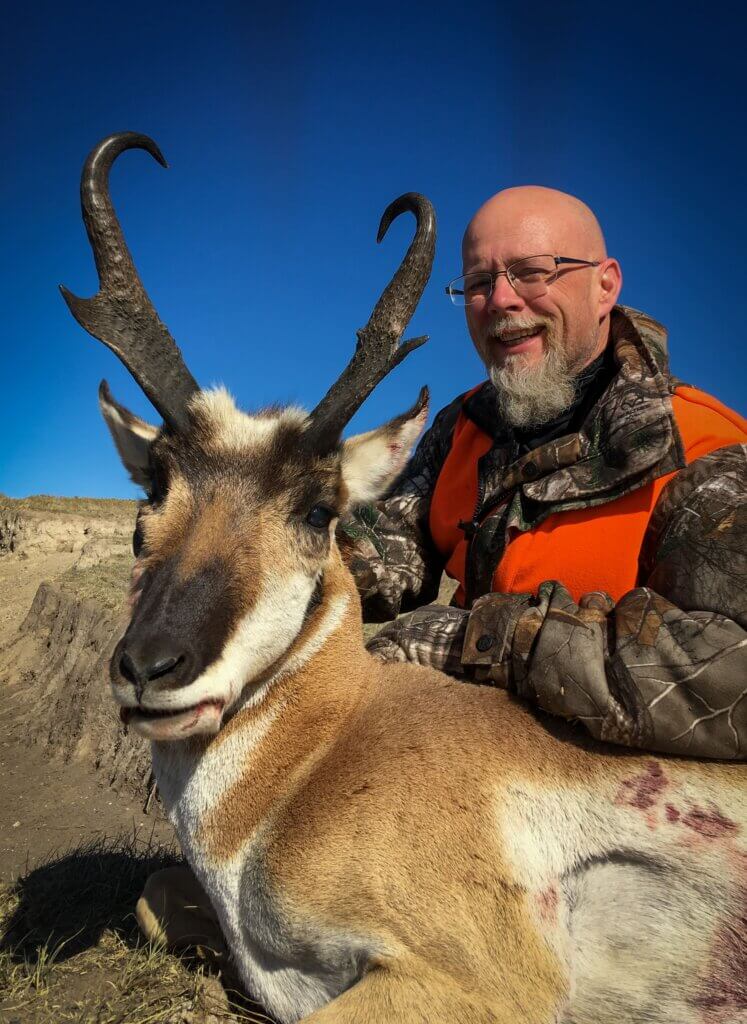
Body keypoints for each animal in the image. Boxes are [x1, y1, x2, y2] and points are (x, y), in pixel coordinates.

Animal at [62, 133, 746, 1024]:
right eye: (151, 492)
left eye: (319, 509)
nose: (150, 668)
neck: (322, 749)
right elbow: (151, 896)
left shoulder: (473, 983)